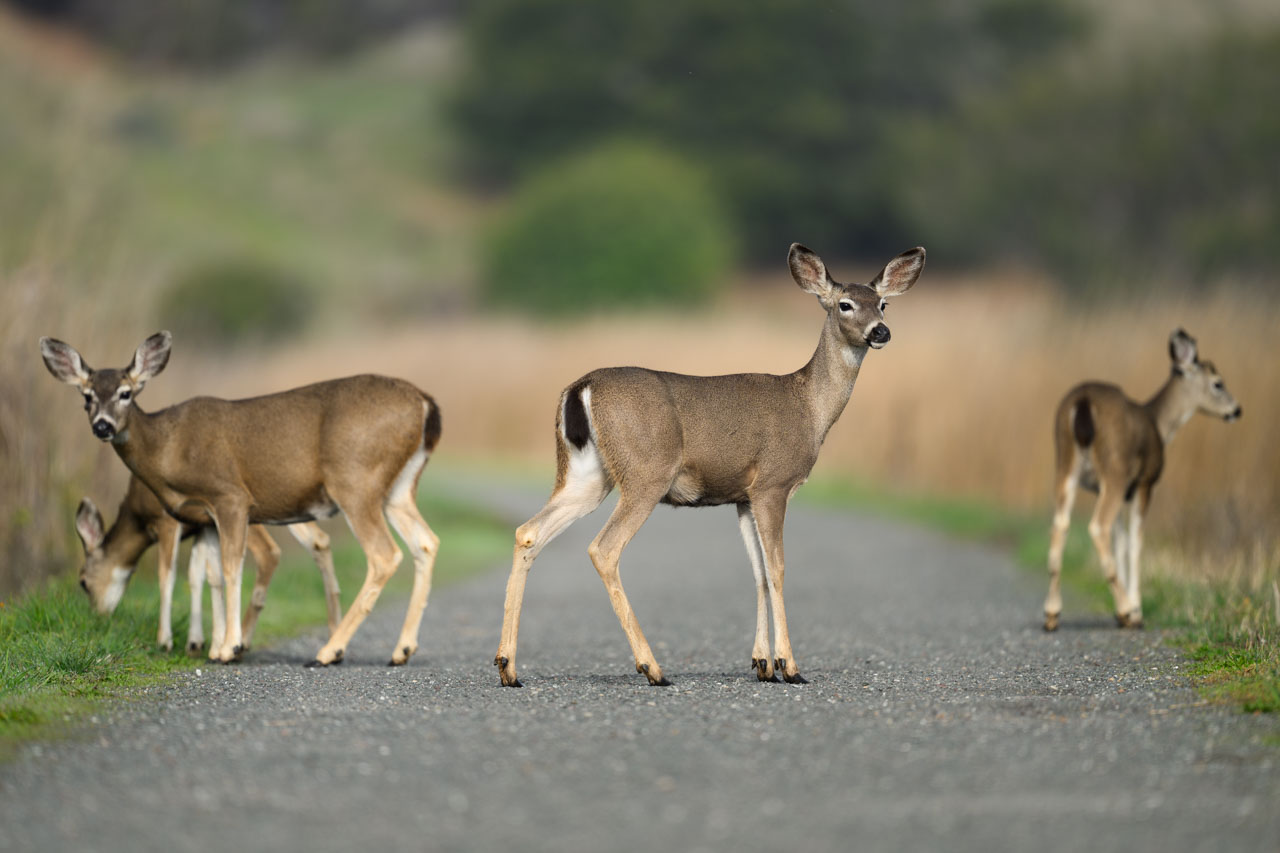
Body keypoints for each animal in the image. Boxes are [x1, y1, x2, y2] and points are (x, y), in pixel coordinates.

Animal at [73, 474, 340, 658]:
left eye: (83, 582)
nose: (98, 616)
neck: (138, 517)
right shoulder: (200, 525)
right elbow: (196, 574)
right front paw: (196, 642)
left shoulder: (167, 520)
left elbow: (168, 575)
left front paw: (166, 641)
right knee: (319, 540)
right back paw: (332, 636)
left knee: (270, 551)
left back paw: (242, 641)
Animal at [495, 243, 925, 687]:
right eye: (845, 304)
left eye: (883, 304)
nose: (880, 332)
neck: (810, 408)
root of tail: (580, 388)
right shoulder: (772, 484)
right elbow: (777, 569)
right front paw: (789, 665)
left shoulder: (742, 496)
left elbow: (757, 573)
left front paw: (762, 663)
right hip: (646, 472)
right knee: (603, 548)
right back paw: (653, 668)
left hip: (587, 475)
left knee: (529, 532)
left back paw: (508, 667)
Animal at [1043, 329, 1241, 632]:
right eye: (1218, 383)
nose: (1237, 409)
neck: (1159, 424)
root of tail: (1082, 403)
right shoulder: (1144, 483)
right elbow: (1136, 541)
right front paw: (1135, 609)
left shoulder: (1114, 489)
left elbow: (1121, 540)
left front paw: (1122, 609)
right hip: (1114, 469)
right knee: (1097, 527)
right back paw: (1126, 611)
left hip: (1066, 465)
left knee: (1061, 524)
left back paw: (1052, 613)